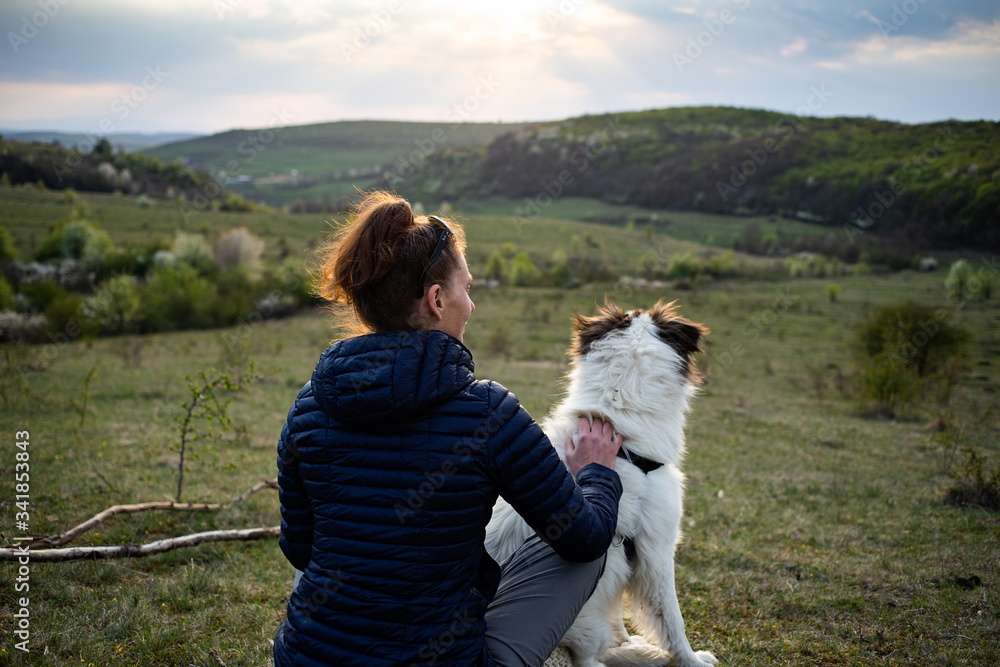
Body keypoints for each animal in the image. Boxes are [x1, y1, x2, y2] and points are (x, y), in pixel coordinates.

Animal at [486, 300, 716, 664]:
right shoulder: (657, 552)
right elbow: (673, 621)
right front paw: (691, 660)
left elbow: (621, 614)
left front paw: (629, 640)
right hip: (587, 628)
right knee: (590, 657)